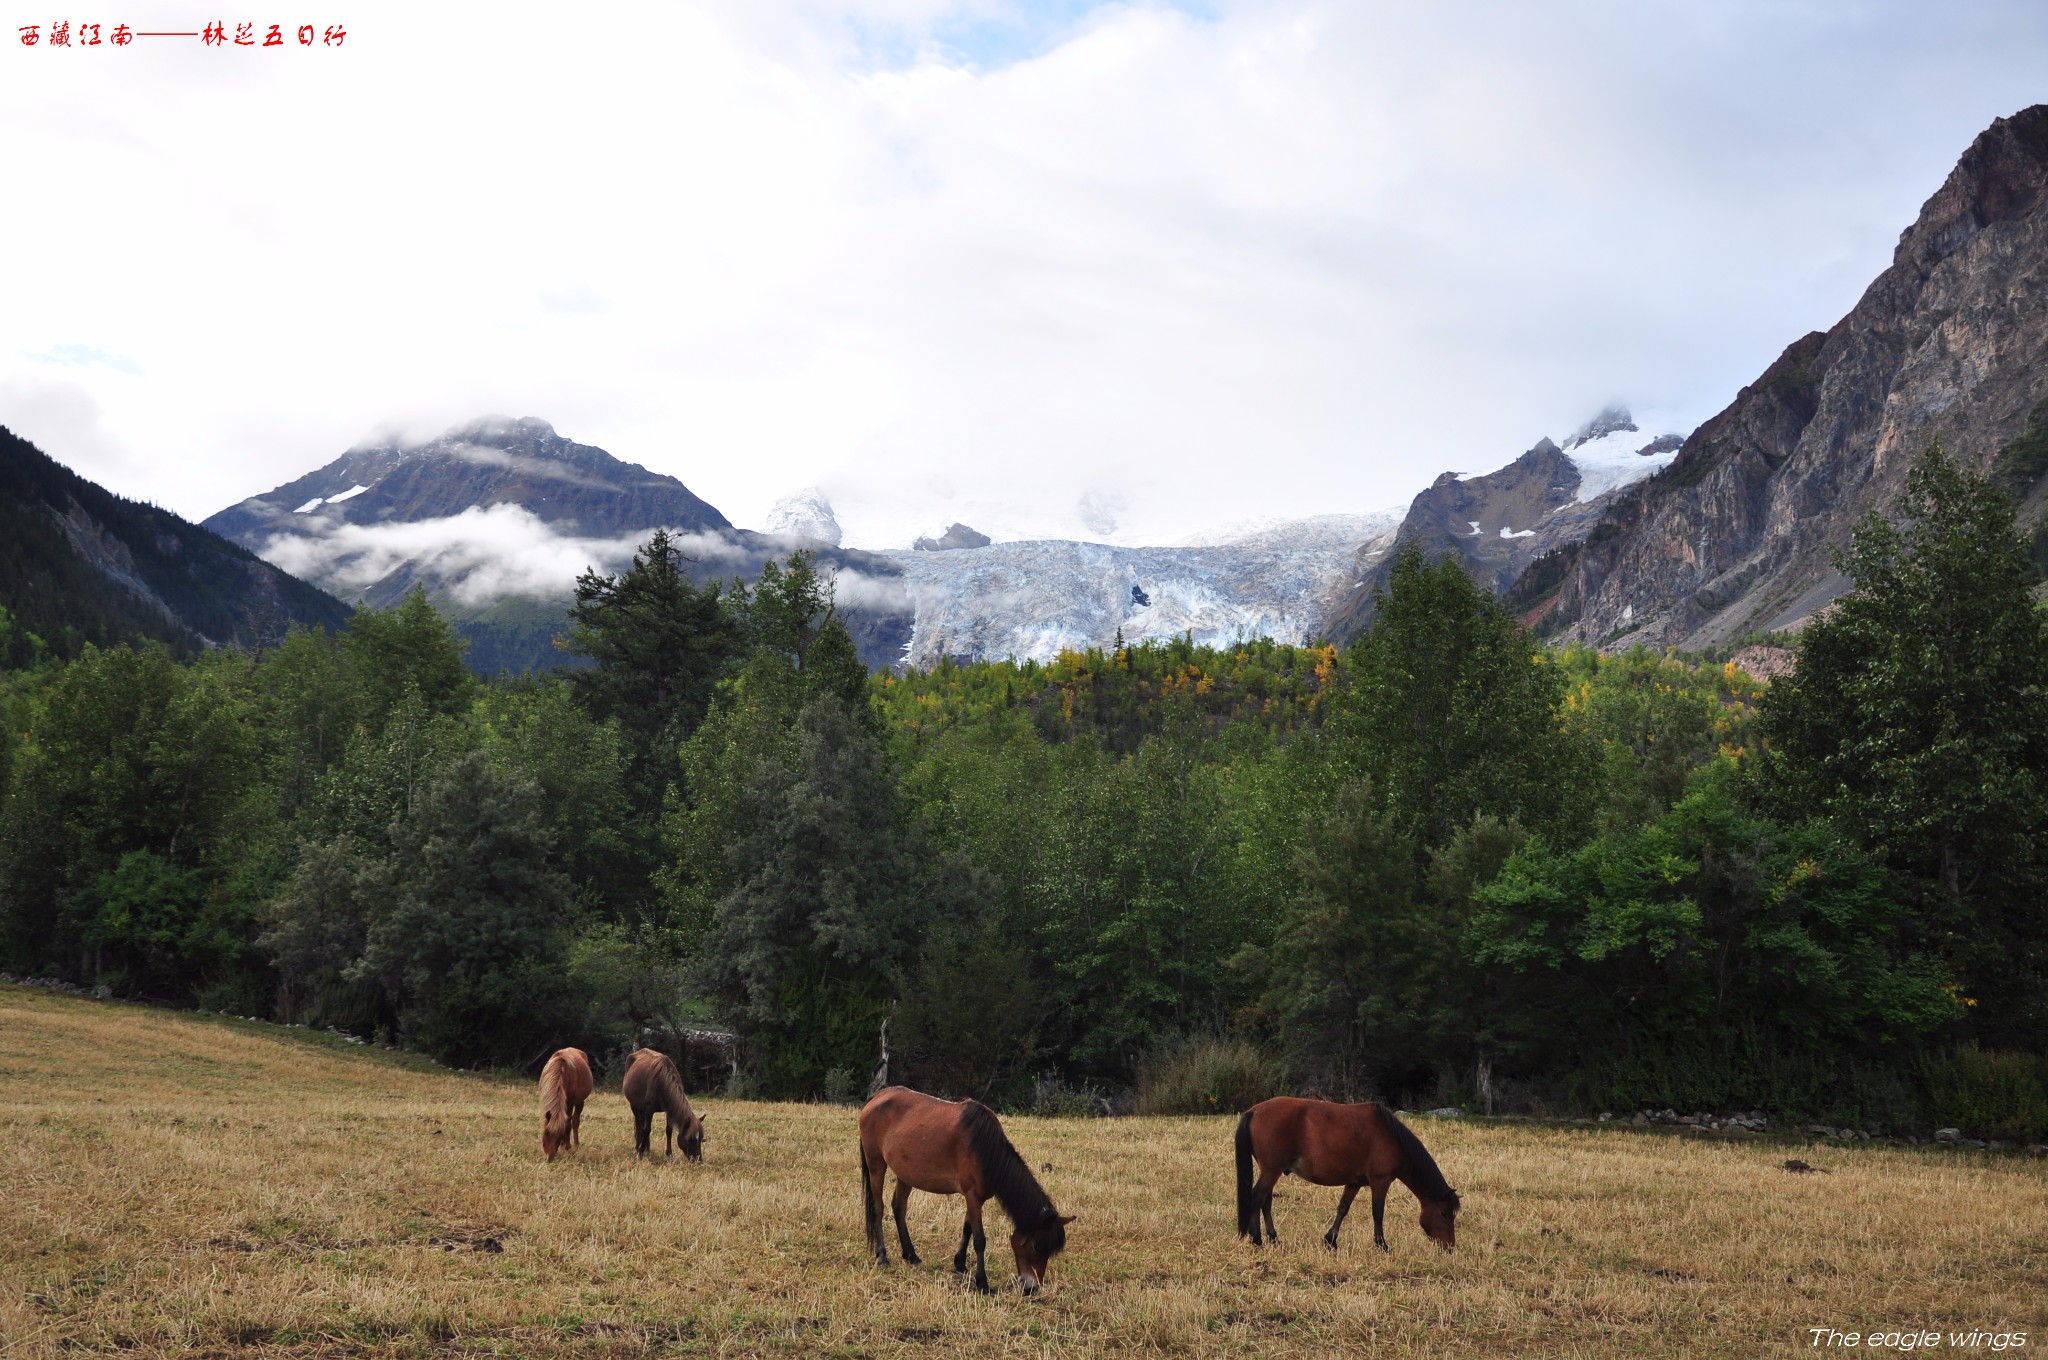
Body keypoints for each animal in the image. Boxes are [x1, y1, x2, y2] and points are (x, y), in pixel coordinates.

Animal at [851, 1081, 1073, 1294]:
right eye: (1037, 1247)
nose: (1031, 1288)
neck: (985, 1149)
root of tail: (878, 1096)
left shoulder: (974, 1198)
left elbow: (967, 1229)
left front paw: (960, 1264)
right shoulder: (972, 1196)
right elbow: (980, 1239)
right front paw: (982, 1283)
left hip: (905, 1174)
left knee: (899, 1208)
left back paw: (911, 1255)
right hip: (876, 1164)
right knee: (878, 1209)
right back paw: (882, 1257)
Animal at [1228, 1097, 1458, 1245]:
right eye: (1444, 1213)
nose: (1449, 1247)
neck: (1391, 1136)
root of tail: (1254, 1111)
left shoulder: (1354, 1182)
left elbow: (1343, 1209)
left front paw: (1331, 1240)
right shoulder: (1380, 1181)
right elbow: (1378, 1213)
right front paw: (1381, 1245)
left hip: (1270, 1171)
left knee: (1265, 1201)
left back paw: (1274, 1238)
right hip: (1271, 1171)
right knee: (1257, 1198)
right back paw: (1257, 1239)